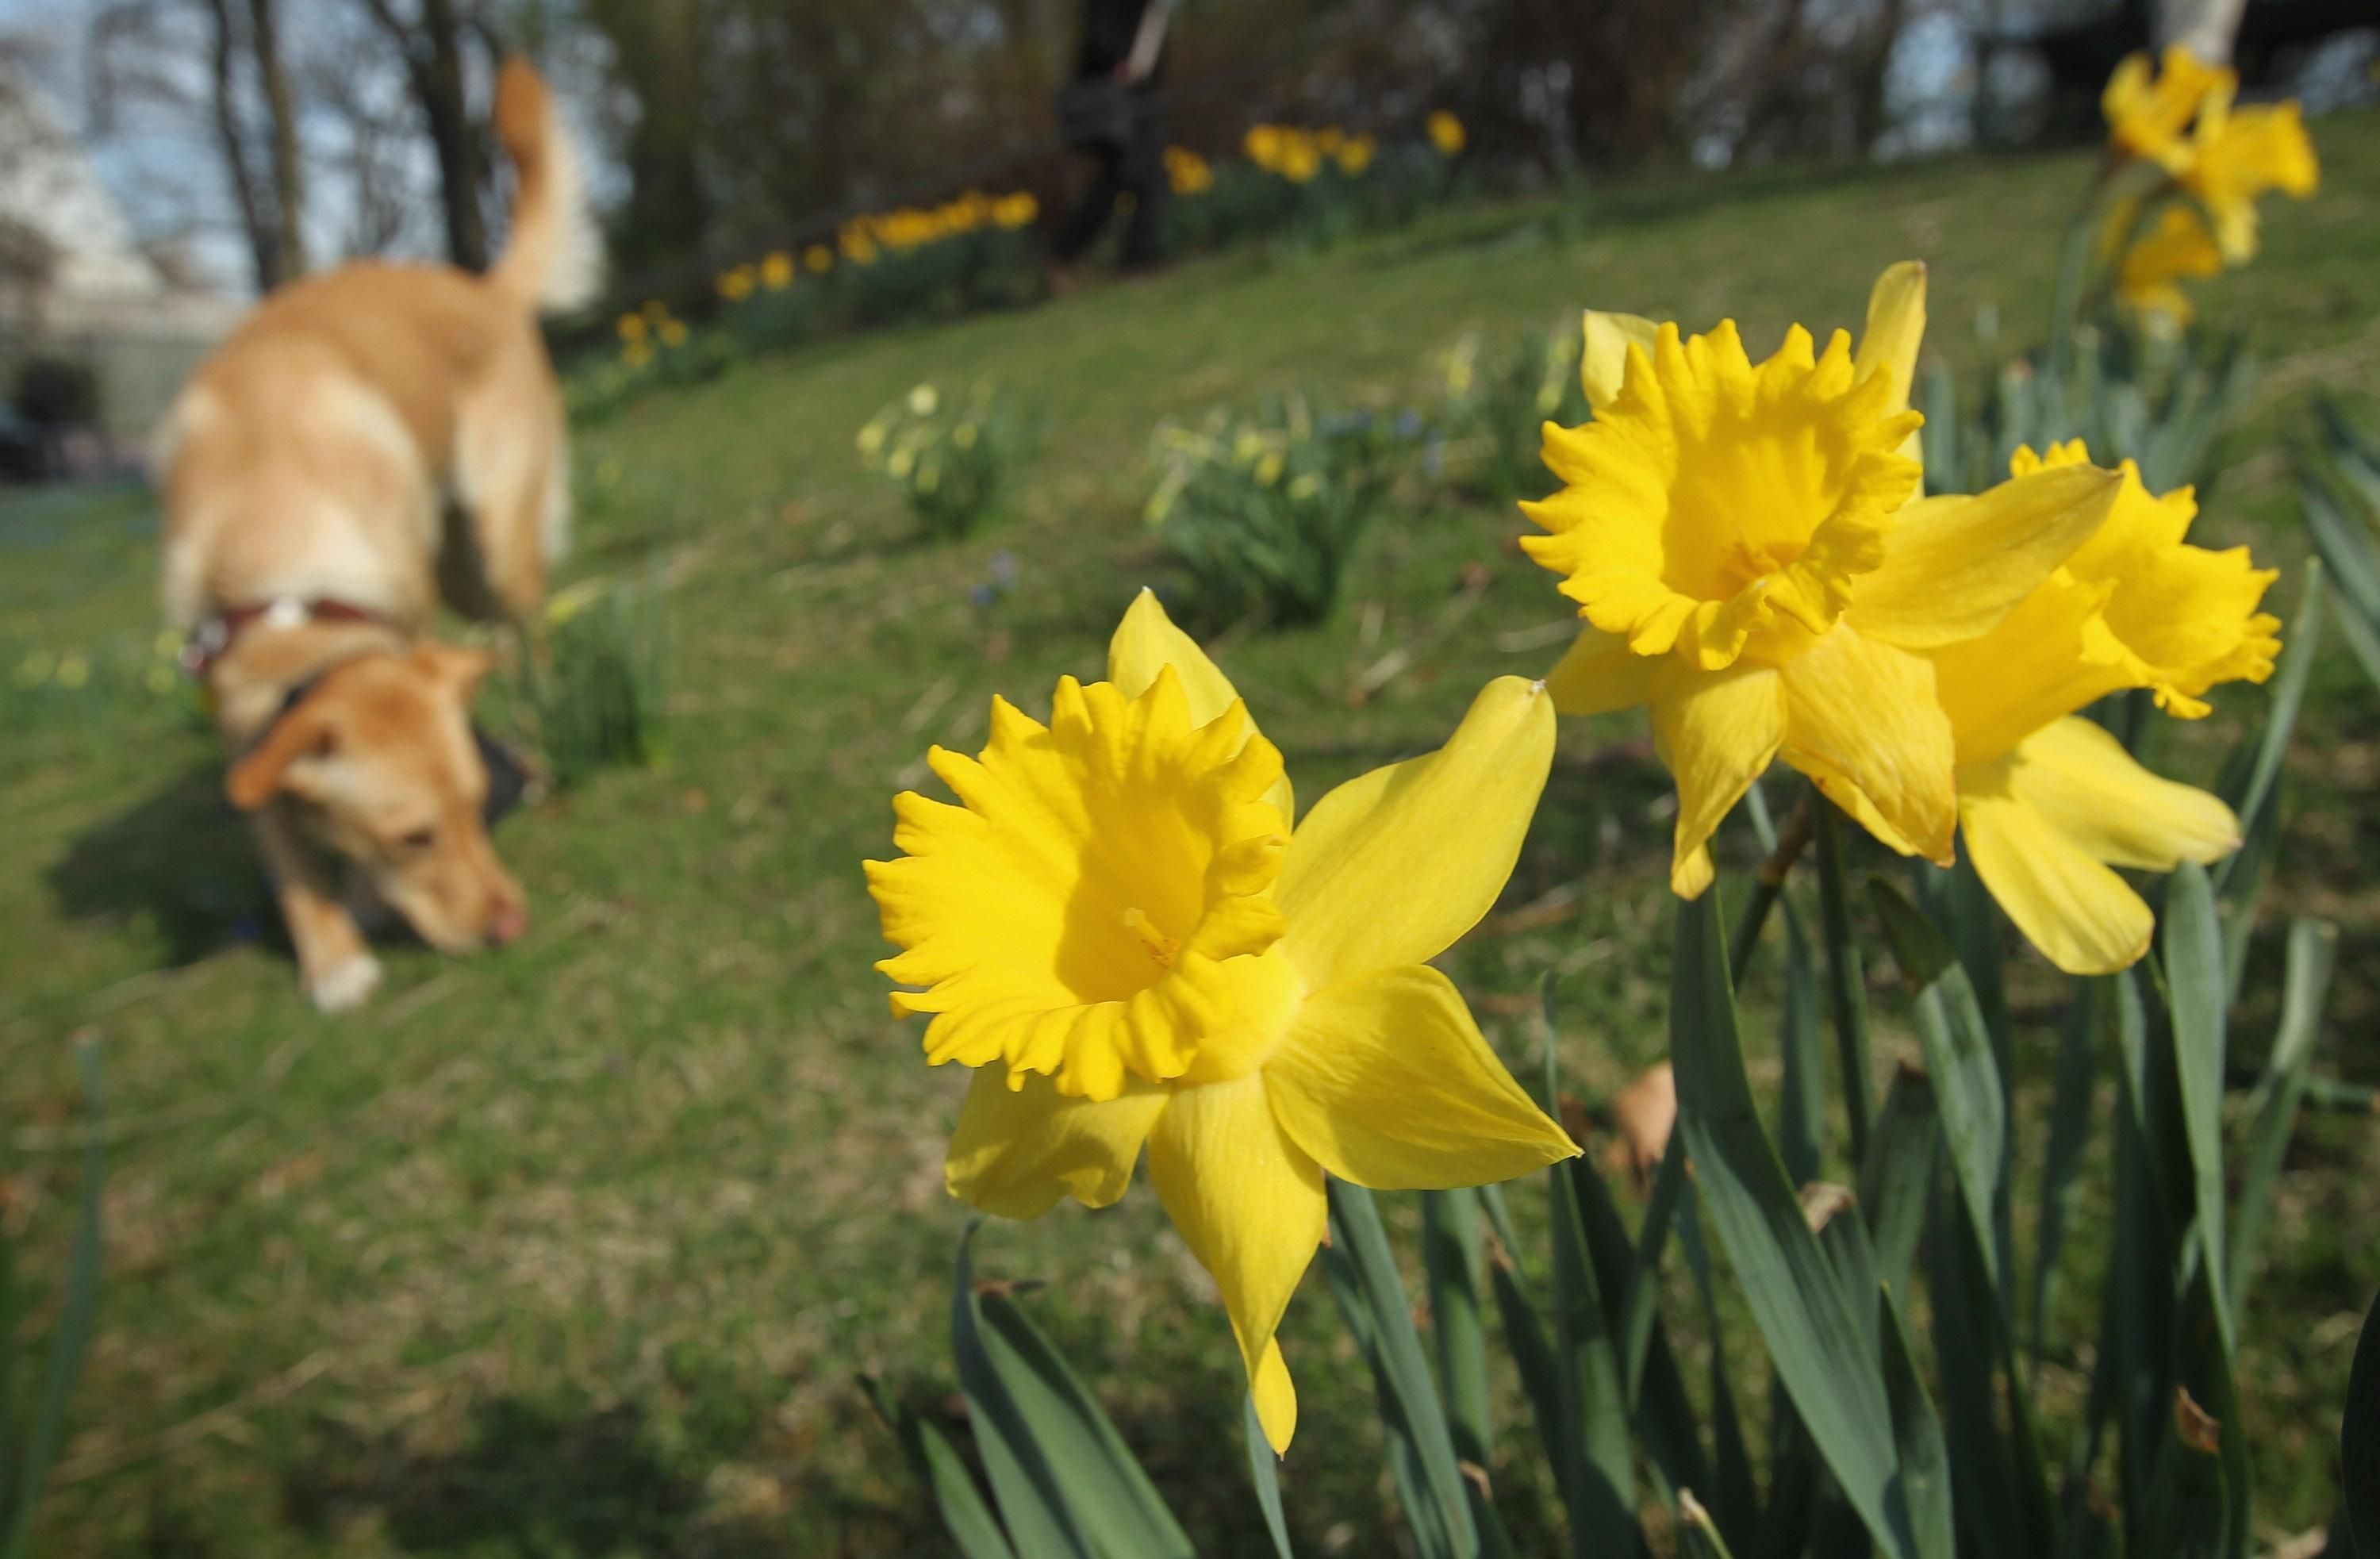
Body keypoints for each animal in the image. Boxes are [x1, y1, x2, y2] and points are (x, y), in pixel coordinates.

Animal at [153, 58, 600, 1014]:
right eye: (414, 837)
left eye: (475, 805)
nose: (511, 924)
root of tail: (478, 285)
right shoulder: (239, 722)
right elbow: (285, 854)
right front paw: (332, 958)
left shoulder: (403, 616)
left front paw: (356, 906)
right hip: (464, 567)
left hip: (495, 546)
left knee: (531, 633)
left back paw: (547, 727)